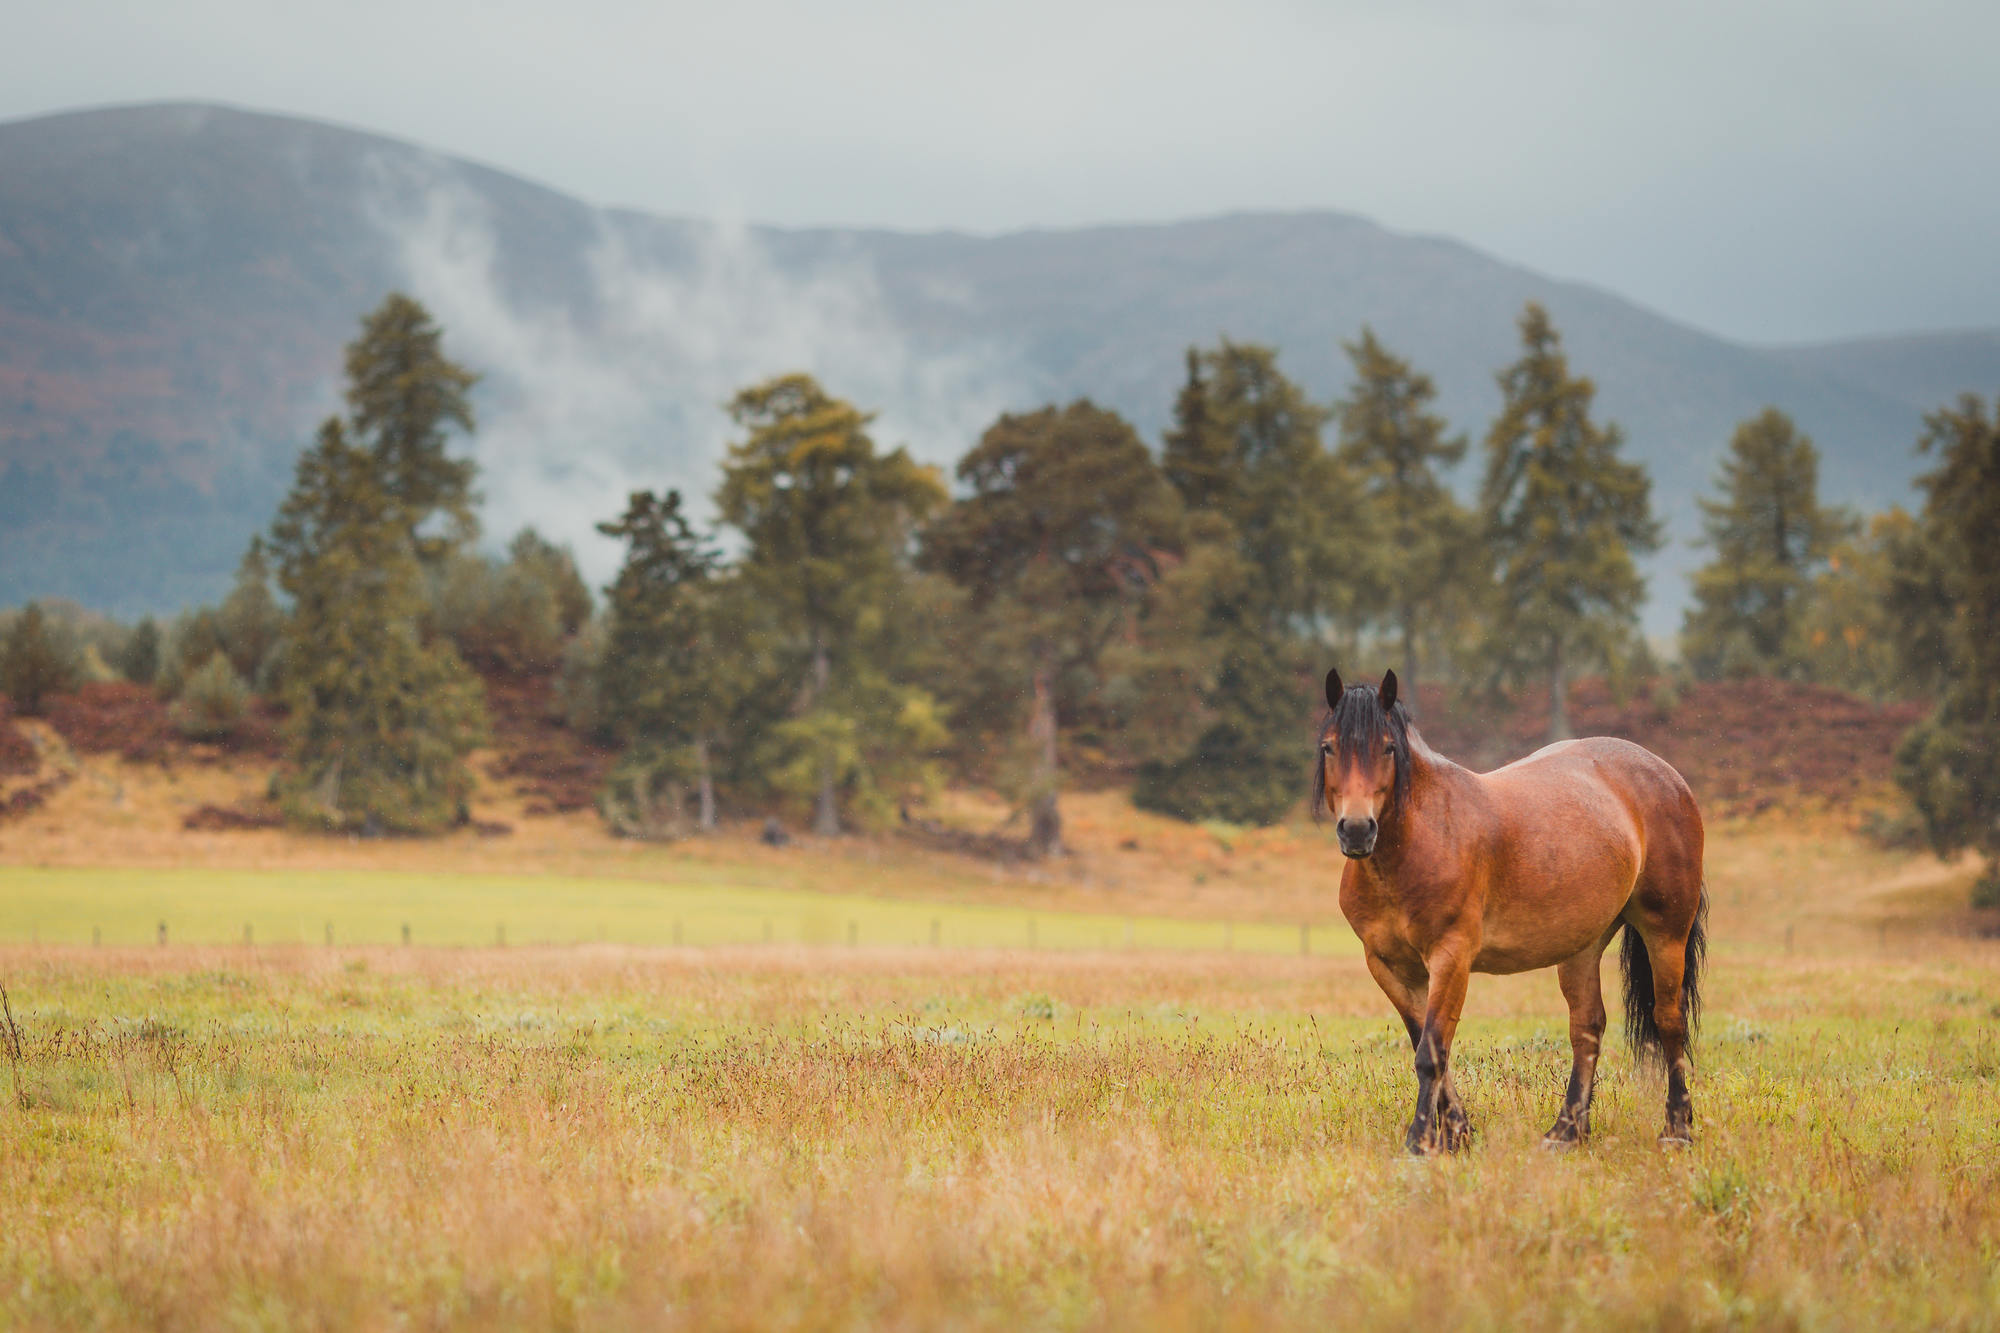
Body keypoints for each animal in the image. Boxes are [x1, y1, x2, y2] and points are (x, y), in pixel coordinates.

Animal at [1320, 668, 1712, 1144]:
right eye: (1329, 746)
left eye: (1388, 747)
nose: (1357, 830)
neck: (1419, 842)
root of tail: (1668, 777)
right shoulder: (1388, 966)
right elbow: (1424, 1043)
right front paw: (1457, 1132)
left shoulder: (1451, 959)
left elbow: (1431, 1053)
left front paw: (1422, 1141)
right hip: (1582, 946)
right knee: (1587, 1027)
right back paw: (1565, 1132)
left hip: (1666, 930)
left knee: (1669, 1019)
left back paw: (1677, 1128)